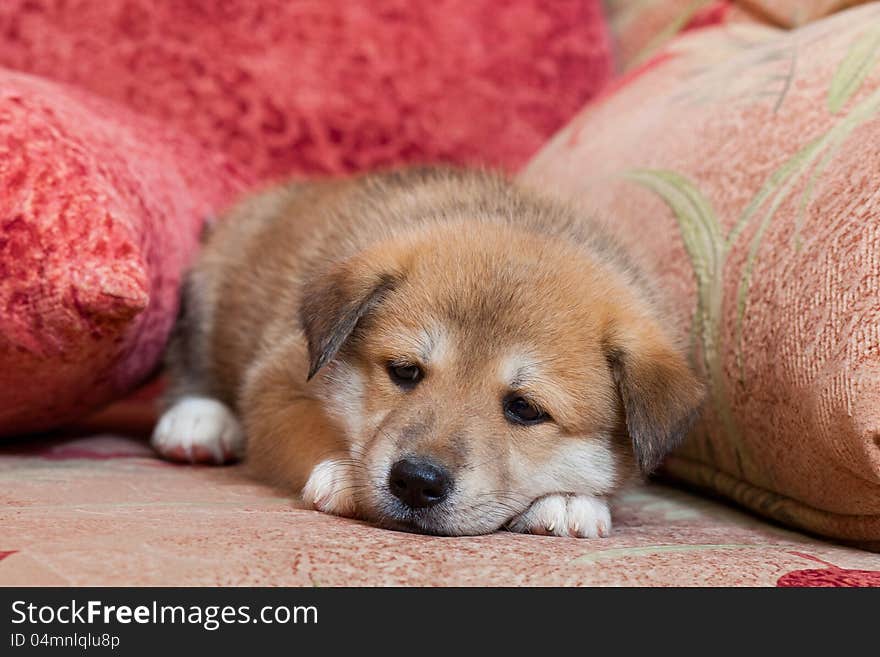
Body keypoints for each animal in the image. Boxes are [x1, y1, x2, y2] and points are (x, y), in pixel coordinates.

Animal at [150, 167, 700, 536]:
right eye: (404, 371)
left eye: (525, 408)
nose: (415, 482)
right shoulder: (278, 382)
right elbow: (303, 427)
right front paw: (342, 474)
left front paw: (567, 501)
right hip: (209, 296)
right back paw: (198, 423)